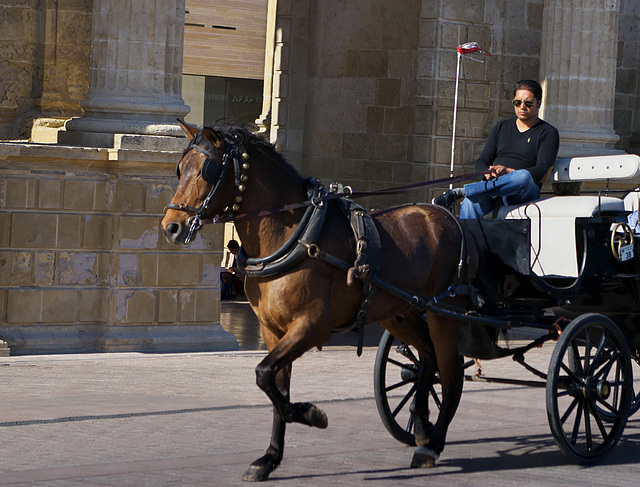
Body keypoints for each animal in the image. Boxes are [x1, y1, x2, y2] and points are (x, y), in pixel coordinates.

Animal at [162, 121, 478, 480]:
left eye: (208, 170)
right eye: (179, 169)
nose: (171, 227)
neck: (295, 235)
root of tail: (449, 218)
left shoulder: (311, 327)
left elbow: (263, 374)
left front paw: (312, 415)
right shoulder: (274, 331)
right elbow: (275, 387)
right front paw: (270, 458)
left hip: (445, 313)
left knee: (450, 375)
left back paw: (432, 443)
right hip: (401, 313)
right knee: (426, 358)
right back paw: (422, 426)